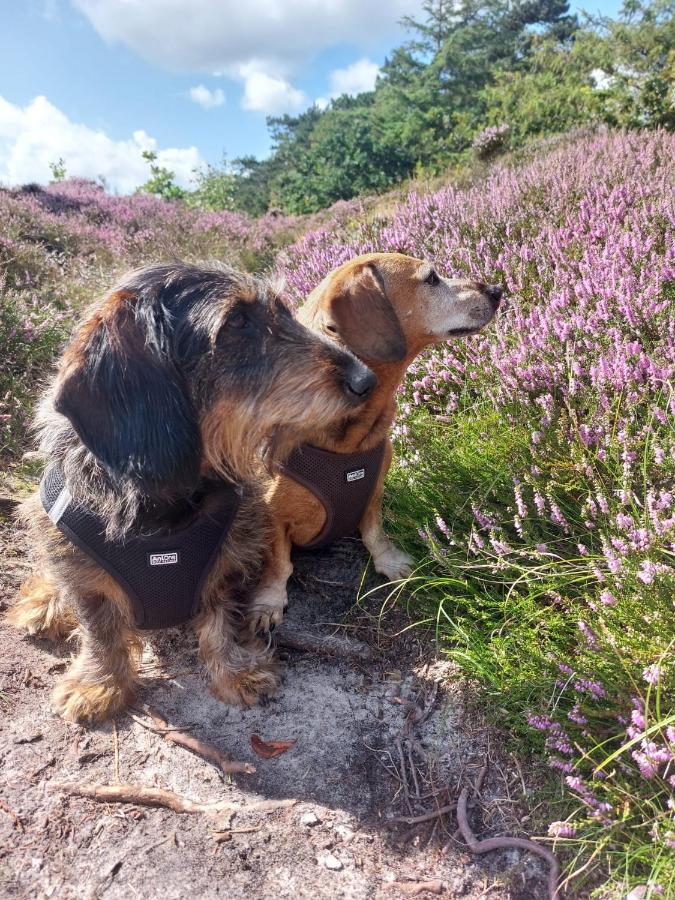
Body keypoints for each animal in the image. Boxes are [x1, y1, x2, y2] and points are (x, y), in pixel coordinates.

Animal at [250, 251, 502, 632]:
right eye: (431, 278)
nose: (497, 290)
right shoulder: (271, 518)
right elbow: (280, 563)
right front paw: (269, 600)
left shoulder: (373, 493)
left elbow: (374, 532)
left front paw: (390, 560)